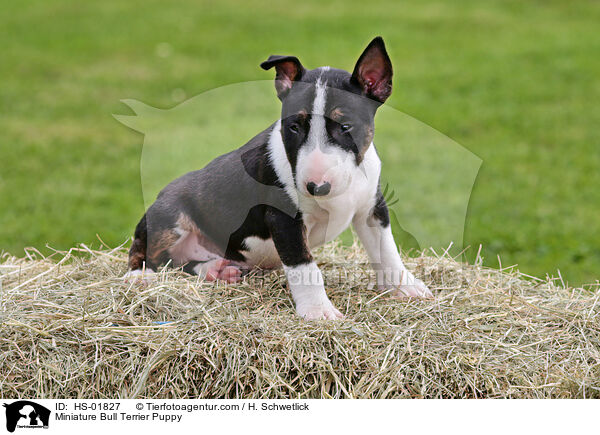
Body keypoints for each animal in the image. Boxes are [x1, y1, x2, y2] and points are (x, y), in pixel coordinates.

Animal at [126, 37, 434, 320]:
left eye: (346, 126)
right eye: (294, 126)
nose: (316, 187)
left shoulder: (372, 207)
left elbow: (387, 249)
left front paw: (406, 287)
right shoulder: (284, 218)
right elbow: (304, 266)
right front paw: (318, 312)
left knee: (181, 264)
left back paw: (215, 270)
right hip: (169, 214)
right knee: (145, 250)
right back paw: (139, 276)